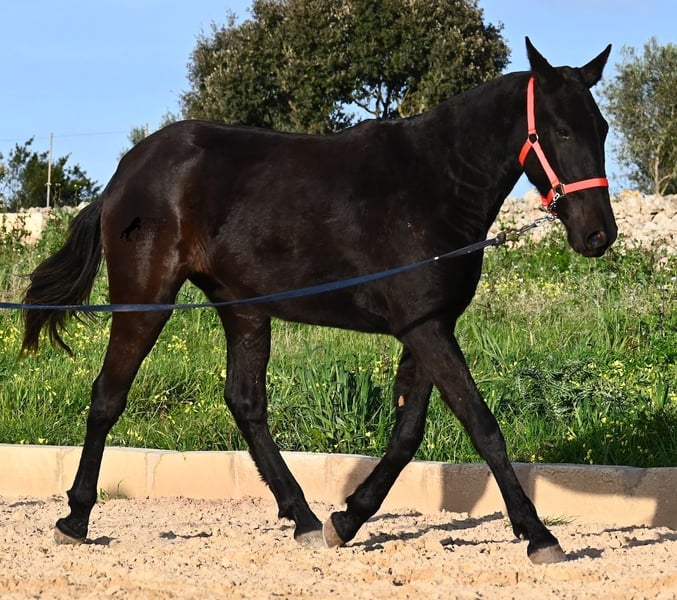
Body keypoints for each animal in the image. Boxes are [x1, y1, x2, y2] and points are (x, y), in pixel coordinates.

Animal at [21, 38, 616, 564]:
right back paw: (75, 519)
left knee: (246, 403)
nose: (599, 235)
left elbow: (407, 433)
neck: (434, 184)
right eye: (562, 130)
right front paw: (539, 535)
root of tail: (125, 174)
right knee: (108, 395)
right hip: (145, 301)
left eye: (604, 128)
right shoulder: (426, 329)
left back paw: (304, 518)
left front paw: (347, 519)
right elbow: (482, 426)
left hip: (242, 309)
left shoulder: (428, 325)